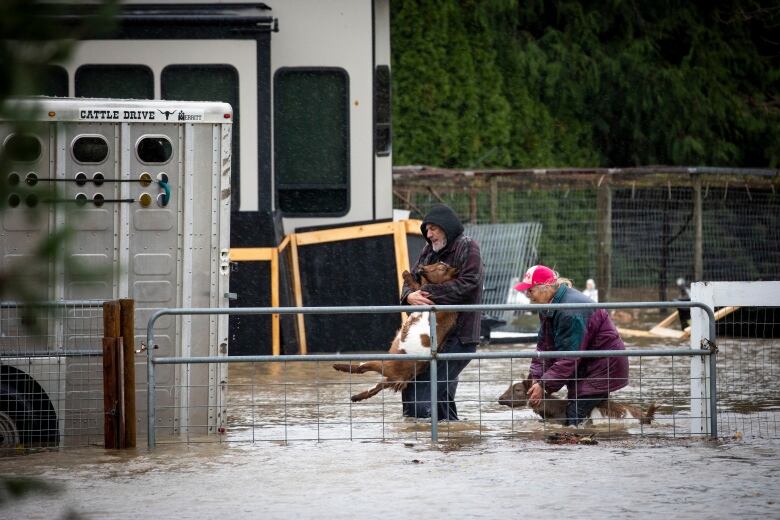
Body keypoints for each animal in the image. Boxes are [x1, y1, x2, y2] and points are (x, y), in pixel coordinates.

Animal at [334, 264, 458, 402]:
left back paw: (338, 366)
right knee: (375, 388)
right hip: (388, 379)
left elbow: (417, 285)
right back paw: (356, 397)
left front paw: (405, 273)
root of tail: (402, 378)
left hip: (382, 364)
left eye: (442, 268)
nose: (421, 267)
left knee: (362, 368)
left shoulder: (425, 296)